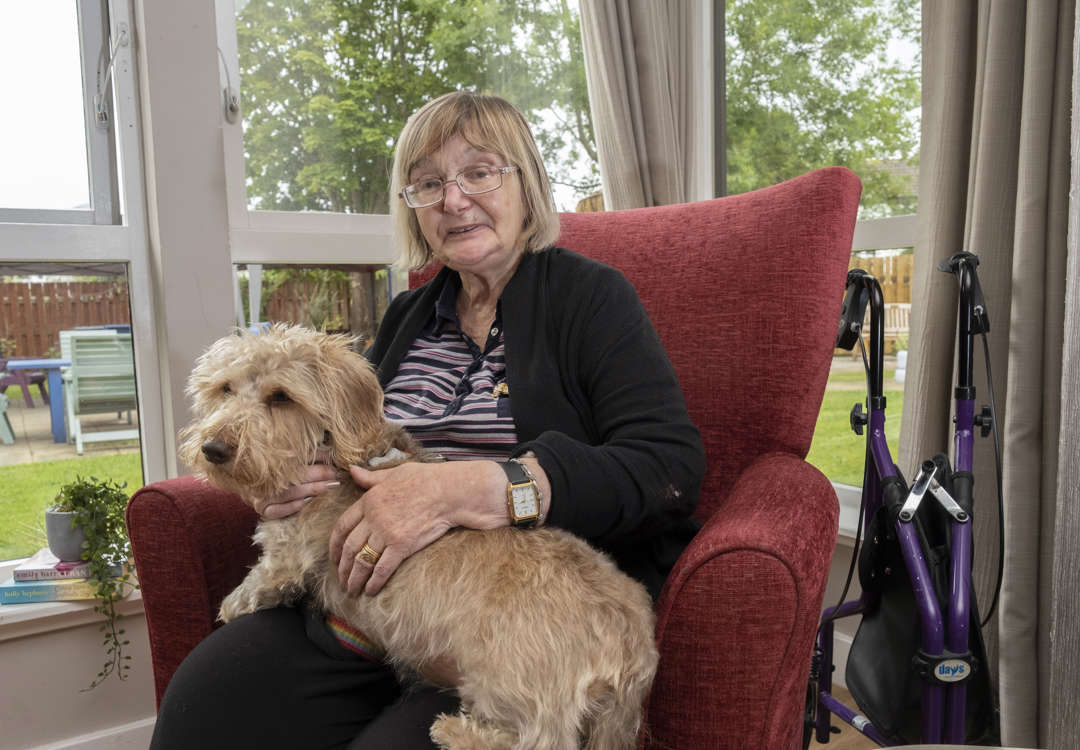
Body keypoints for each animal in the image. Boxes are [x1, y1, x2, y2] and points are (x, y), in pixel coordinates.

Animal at [179, 326, 656, 750]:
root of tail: (634, 646)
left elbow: (259, 580)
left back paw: (456, 732)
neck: (332, 454)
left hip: (509, 682)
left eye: (281, 396)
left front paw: (230, 606)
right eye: (225, 388)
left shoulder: (286, 556)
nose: (213, 449)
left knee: (541, 741)